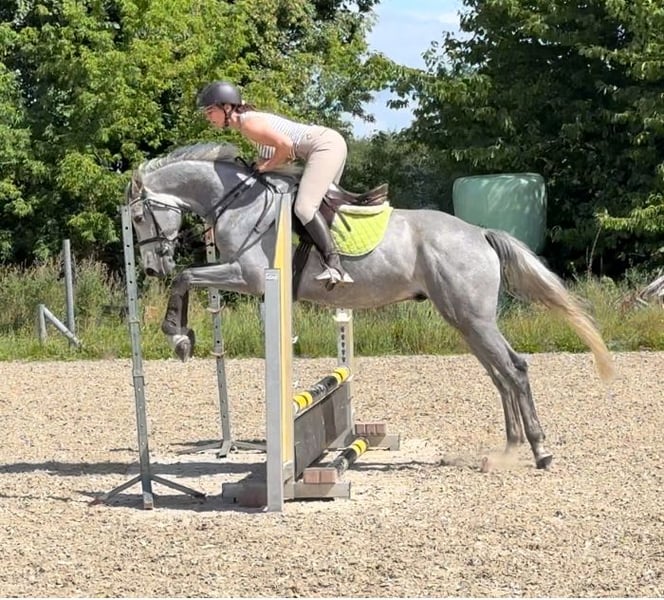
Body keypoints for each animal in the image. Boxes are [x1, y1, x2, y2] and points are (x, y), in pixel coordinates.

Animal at [126, 142, 615, 470]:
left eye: (138, 217)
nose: (151, 267)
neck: (238, 201)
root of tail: (480, 233)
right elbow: (189, 277)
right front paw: (182, 336)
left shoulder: (247, 276)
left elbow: (187, 277)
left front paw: (179, 337)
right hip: (464, 319)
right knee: (501, 374)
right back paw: (510, 449)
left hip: (472, 317)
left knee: (513, 368)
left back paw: (539, 451)